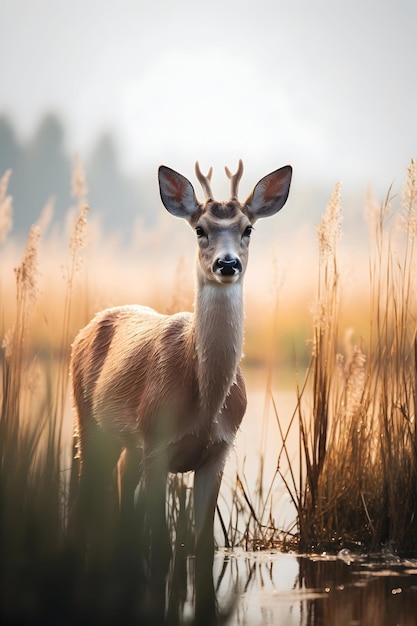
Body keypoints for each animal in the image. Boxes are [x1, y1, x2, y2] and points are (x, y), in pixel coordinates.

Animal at [70, 158, 290, 616]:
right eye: (199, 229)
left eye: (248, 228)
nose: (227, 264)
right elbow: (162, 546)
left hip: (124, 445)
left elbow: (203, 546)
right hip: (86, 420)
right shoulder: (157, 444)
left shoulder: (218, 452)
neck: (204, 402)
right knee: (86, 497)